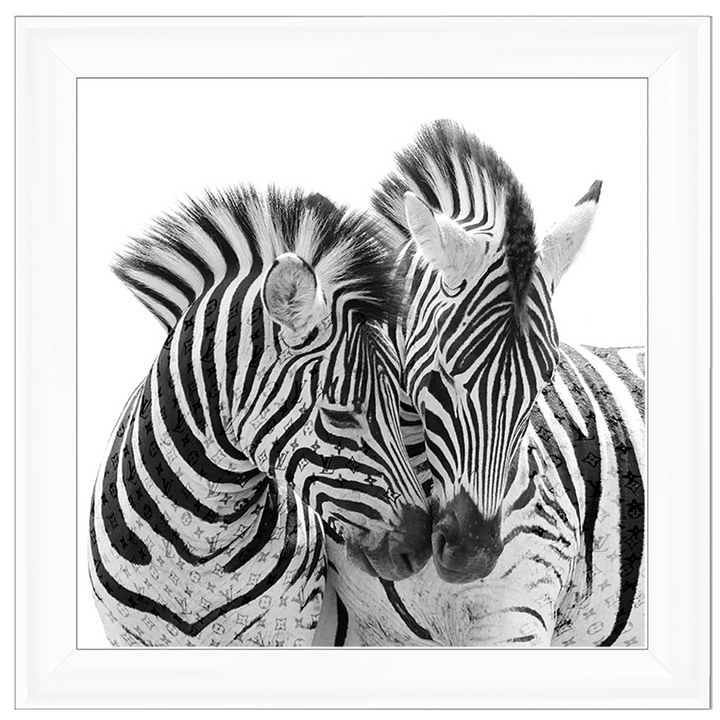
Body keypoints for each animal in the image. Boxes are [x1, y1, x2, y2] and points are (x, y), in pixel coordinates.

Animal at [88, 185, 432, 647]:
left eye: (400, 404)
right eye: (339, 416)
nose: (421, 546)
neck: (196, 545)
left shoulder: (288, 626)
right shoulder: (127, 636)